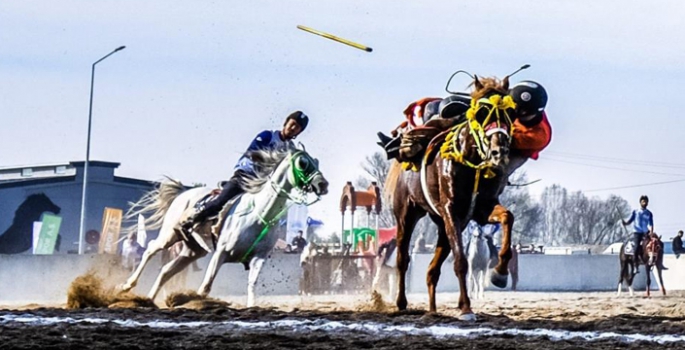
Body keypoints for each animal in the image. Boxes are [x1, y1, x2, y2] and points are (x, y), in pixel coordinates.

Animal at [120, 146, 328, 304]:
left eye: (316, 162)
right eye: (303, 163)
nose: (323, 184)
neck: (259, 214)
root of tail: (182, 193)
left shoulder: (259, 257)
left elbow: (251, 286)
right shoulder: (221, 252)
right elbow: (205, 287)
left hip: (193, 250)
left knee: (166, 271)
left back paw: (149, 300)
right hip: (169, 235)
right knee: (150, 250)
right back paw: (126, 286)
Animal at [384, 76, 512, 320]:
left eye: (510, 113)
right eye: (482, 112)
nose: (499, 152)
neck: (471, 162)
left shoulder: (481, 208)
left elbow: (507, 217)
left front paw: (500, 274)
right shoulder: (451, 209)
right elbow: (461, 261)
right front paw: (466, 308)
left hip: (443, 226)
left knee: (431, 270)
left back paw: (433, 310)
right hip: (407, 214)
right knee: (403, 258)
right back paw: (401, 302)